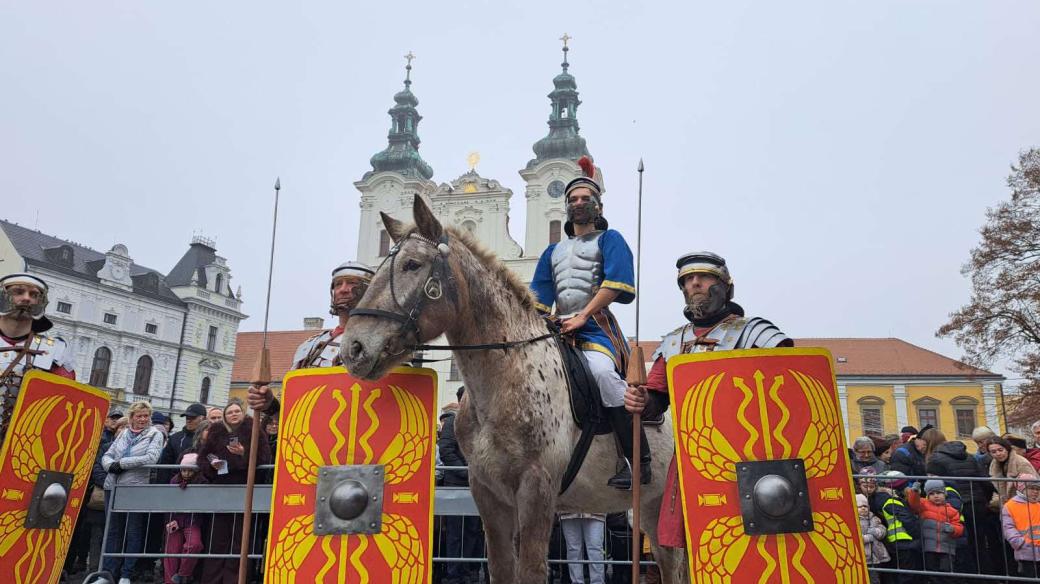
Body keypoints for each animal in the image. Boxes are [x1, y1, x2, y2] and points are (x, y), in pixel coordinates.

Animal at [343, 194, 690, 581]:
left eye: (413, 264)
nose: (353, 348)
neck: (504, 379)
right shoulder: (488, 495)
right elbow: (501, 568)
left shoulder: (536, 490)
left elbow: (532, 570)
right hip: (652, 510)